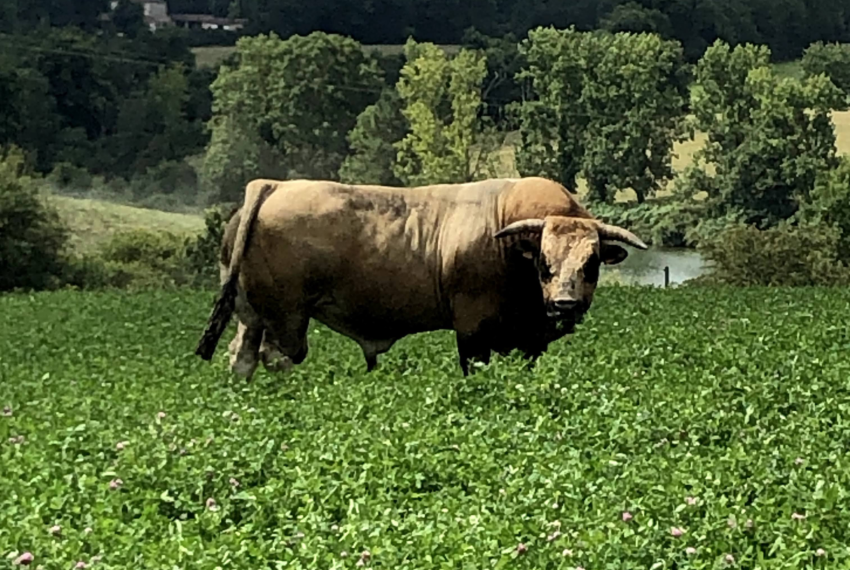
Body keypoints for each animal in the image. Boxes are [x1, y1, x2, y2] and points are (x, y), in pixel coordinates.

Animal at [194, 175, 644, 374]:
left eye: (591, 263)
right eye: (544, 263)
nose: (565, 304)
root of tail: (275, 184)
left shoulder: (529, 341)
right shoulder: (472, 331)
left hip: (253, 313)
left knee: (242, 354)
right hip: (286, 317)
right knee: (276, 356)